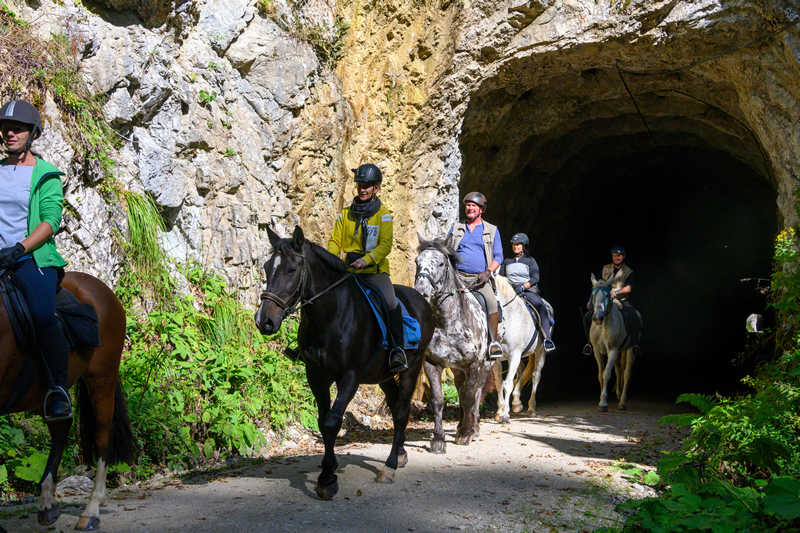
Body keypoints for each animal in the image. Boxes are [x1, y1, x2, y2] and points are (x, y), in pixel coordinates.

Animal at [0, 272, 135, 528]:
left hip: (102, 377)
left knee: (102, 437)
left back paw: (91, 510)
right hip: (44, 392)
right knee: (61, 429)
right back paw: (47, 503)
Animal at [255, 227, 432, 500]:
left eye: (291, 270)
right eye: (266, 267)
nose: (264, 321)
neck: (330, 316)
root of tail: (422, 300)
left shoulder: (350, 376)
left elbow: (332, 422)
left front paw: (327, 478)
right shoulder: (316, 376)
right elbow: (322, 421)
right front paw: (328, 470)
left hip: (411, 366)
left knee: (402, 411)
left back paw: (390, 465)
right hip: (383, 375)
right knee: (394, 406)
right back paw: (401, 453)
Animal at [416, 238, 540, 454]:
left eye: (440, 263)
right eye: (417, 262)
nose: (421, 291)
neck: (448, 321)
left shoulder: (475, 364)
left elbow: (469, 397)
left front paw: (466, 433)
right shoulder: (433, 364)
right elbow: (438, 400)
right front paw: (438, 440)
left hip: (488, 364)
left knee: (477, 391)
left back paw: (473, 427)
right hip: (459, 368)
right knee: (463, 388)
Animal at [588, 272, 636, 410]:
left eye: (607, 295)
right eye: (593, 295)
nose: (597, 318)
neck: (603, 326)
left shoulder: (613, 350)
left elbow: (606, 373)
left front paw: (603, 403)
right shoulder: (597, 351)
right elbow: (600, 375)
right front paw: (601, 398)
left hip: (630, 351)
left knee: (626, 373)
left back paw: (622, 402)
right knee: (619, 370)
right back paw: (619, 394)